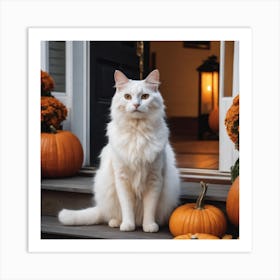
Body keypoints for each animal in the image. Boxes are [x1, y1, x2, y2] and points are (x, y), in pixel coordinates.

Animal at [58, 69, 180, 232]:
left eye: (145, 96)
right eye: (127, 96)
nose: (136, 104)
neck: (137, 133)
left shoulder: (154, 179)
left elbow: (150, 208)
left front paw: (149, 226)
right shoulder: (122, 179)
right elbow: (127, 207)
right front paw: (128, 225)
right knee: (112, 214)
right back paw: (116, 222)